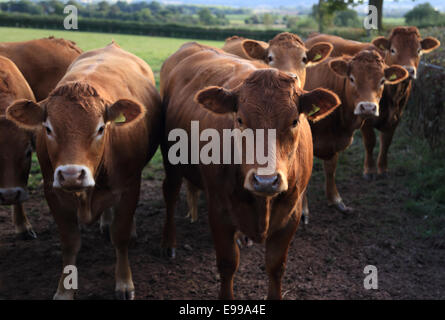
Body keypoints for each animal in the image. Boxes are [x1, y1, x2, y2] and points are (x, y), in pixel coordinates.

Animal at [6, 42, 161, 300]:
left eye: (100, 128)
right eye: (48, 128)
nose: (71, 174)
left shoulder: (130, 186)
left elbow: (121, 236)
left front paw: (124, 283)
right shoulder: (52, 192)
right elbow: (70, 243)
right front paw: (64, 290)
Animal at [161, 41, 338, 298]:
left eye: (295, 121)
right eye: (240, 120)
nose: (266, 181)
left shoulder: (291, 215)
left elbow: (276, 266)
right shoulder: (219, 212)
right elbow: (227, 264)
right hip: (170, 160)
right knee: (170, 194)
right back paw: (169, 244)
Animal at [304, 49, 408, 215]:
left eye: (382, 81)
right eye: (352, 79)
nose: (368, 107)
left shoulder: (334, 143)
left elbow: (330, 170)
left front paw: (336, 200)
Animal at [306, 27, 440, 180]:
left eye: (419, 50)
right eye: (393, 50)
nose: (409, 70)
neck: (393, 95)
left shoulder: (395, 118)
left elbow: (386, 142)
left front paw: (383, 168)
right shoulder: (366, 120)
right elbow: (370, 142)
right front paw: (369, 170)